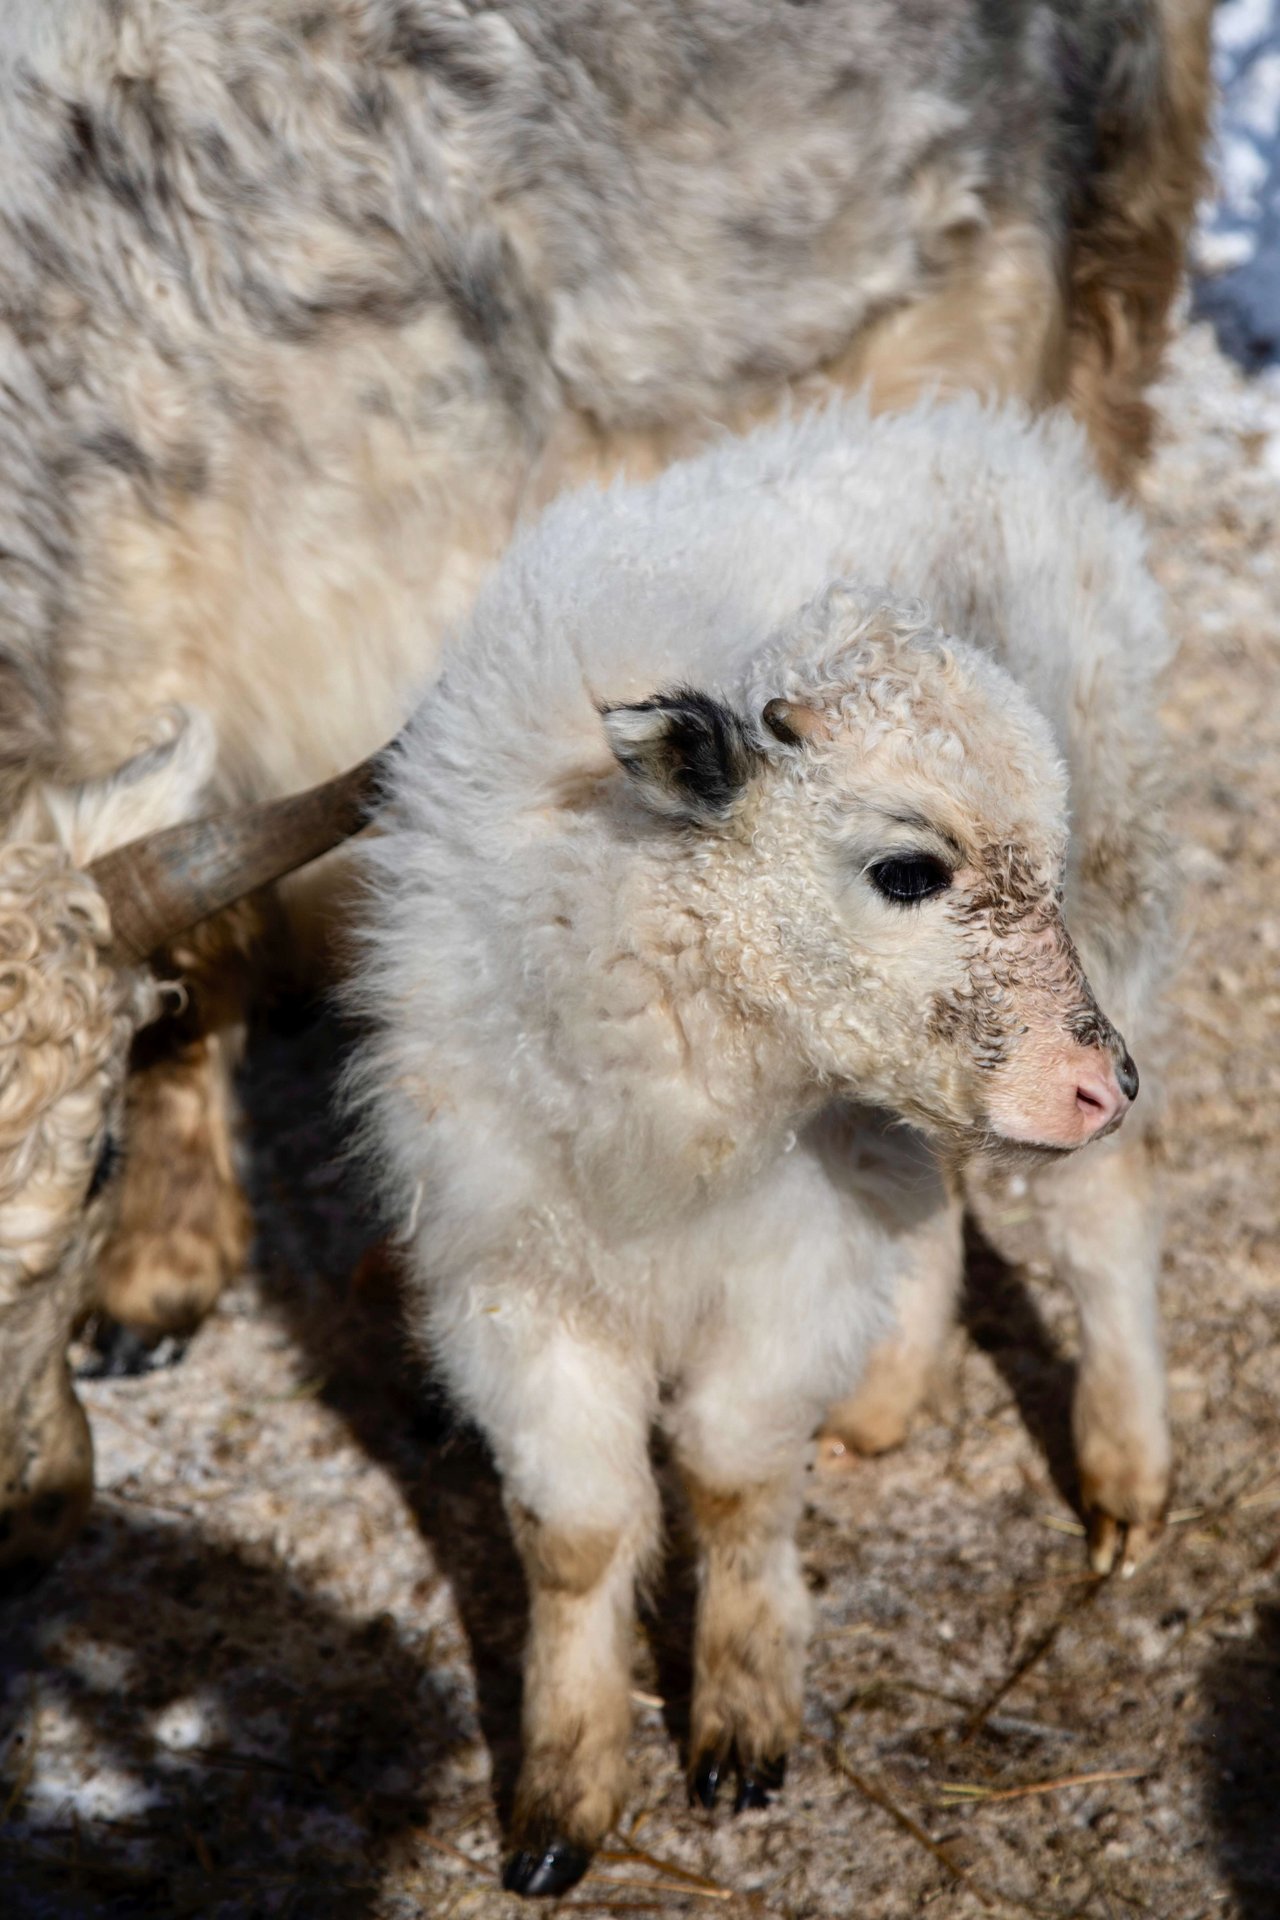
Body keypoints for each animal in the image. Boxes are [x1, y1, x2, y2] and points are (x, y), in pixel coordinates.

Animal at [351, 397, 1174, 1896]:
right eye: (906, 869)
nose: (1106, 1080)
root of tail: (983, 431)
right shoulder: (510, 1285)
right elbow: (575, 1534)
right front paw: (560, 1802)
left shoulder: (787, 1268)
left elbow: (730, 1476)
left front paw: (739, 1727)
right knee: (939, 1192)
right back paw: (888, 1396)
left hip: (1127, 897)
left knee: (1101, 1218)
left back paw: (1124, 1474)